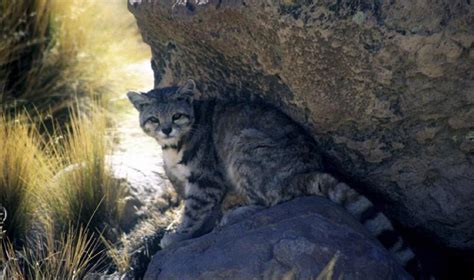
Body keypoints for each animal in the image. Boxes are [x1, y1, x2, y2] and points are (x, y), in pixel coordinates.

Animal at [128, 79, 416, 272]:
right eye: (153, 119)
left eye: (177, 115)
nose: (166, 129)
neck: (176, 143)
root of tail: (305, 170)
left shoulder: (206, 178)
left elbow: (194, 210)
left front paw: (178, 235)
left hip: (245, 145)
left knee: (272, 199)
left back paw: (237, 214)